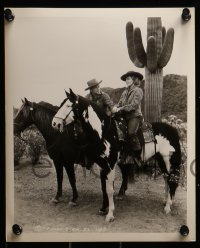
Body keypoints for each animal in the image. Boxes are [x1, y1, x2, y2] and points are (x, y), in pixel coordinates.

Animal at [52, 88, 182, 215]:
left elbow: (109, 189)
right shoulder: (102, 164)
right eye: (61, 104)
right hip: (161, 160)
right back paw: (165, 201)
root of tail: (172, 129)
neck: (105, 132)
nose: (54, 123)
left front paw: (110, 214)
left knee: (170, 179)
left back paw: (168, 207)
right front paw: (103, 208)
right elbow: (104, 187)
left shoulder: (110, 164)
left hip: (168, 160)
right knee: (166, 179)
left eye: (68, 105)